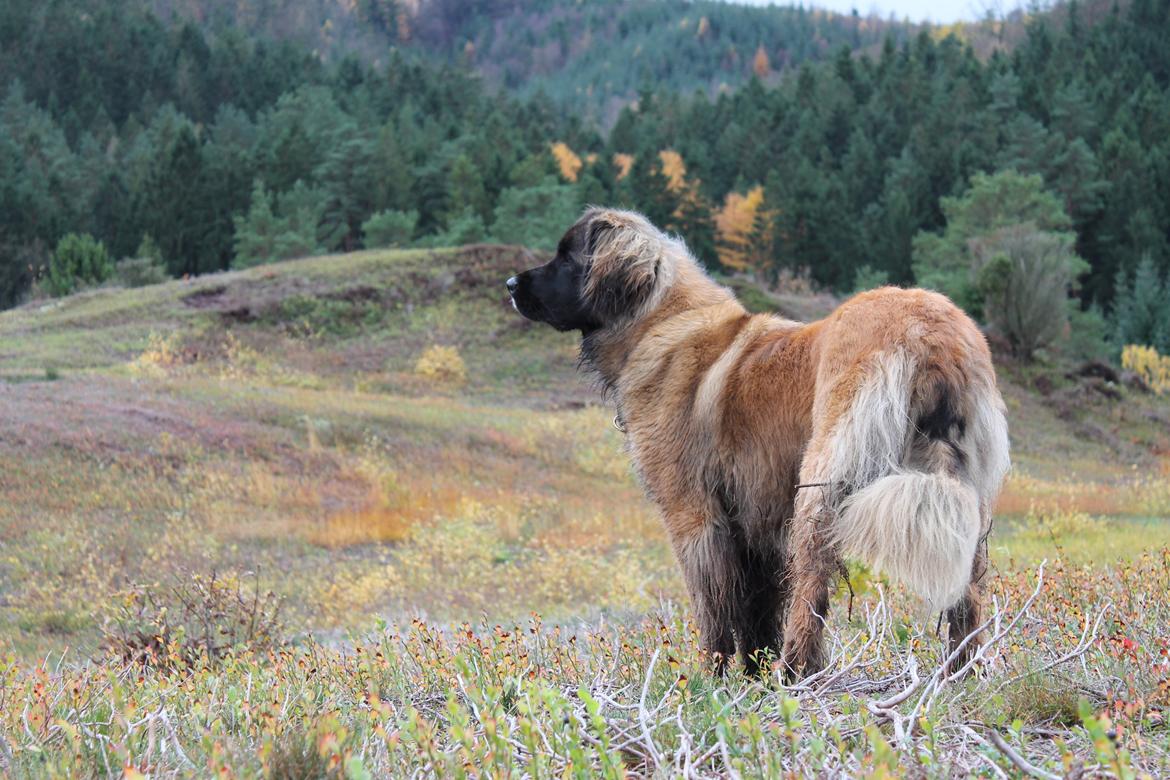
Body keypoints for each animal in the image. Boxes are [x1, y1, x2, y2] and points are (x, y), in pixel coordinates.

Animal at [507, 205, 1010, 678]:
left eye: (567, 257)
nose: (511, 284)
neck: (657, 320)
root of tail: (932, 333)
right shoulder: (753, 521)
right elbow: (756, 611)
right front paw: (752, 676)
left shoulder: (694, 515)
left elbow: (714, 608)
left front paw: (712, 677)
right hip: (964, 493)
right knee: (968, 593)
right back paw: (960, 672)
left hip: (820, 482)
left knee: (812, 585)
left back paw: (796, 669)